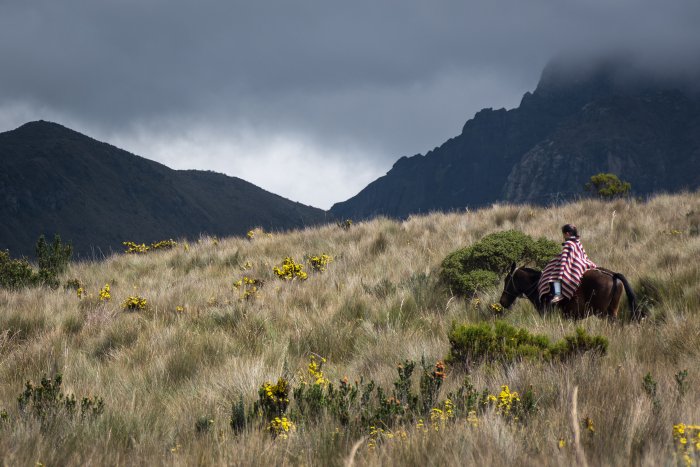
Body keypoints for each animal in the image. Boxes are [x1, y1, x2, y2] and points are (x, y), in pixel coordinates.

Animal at [498, 264, 640, 322]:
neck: (538, 286)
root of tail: (613, 275)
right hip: (612, 311)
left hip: (603, 313)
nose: (502, 301)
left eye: (507, 280)